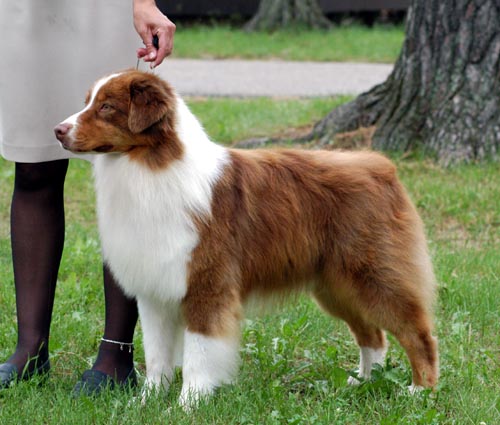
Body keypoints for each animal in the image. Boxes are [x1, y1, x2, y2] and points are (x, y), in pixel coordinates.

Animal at [53, 69, 438, 404]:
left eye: (106, 107)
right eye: (87, 102)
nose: (57, 129)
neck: (149, 164)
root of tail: (380, 166)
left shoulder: (207, 283)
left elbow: (198, 353)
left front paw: (189, 403)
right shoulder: (155, 288)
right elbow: (158, 354)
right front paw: (146, 401)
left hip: (373, 275)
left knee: (416, 331)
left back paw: (421, 390)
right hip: (335, 285)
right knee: (373, 335)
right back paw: (364, 381)